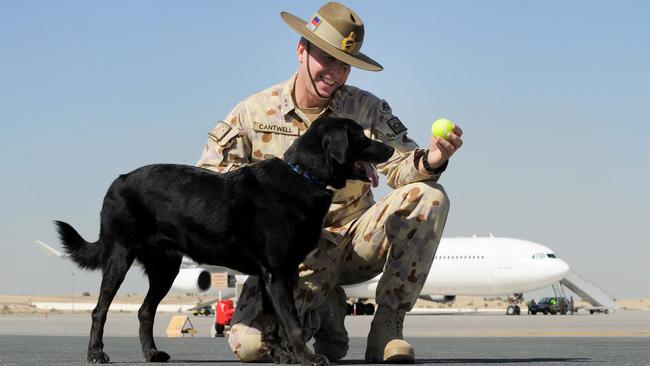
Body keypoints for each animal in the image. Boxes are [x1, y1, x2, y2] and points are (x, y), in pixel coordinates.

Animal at [55, 118, 392, 366]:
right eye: (361, 137)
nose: (390, 148)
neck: (303, 175)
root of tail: (119, 180)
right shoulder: (277, 272)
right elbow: (292, 322)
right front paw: (308, 358)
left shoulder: (276, 274)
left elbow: (274, 323)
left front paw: (282, 356)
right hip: (120, 256)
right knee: (100, 310)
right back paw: (96, 354)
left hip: (166, 267)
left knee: (145, 311)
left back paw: (152, 353)